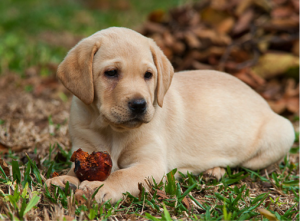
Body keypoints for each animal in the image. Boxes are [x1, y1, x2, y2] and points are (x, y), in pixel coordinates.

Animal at [45, 27, 294, 204]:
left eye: (148, 75)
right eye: (111, 73)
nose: (139, 105)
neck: (111, 130)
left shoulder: (150, 165)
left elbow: (121, 176)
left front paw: (100, 188)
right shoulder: (84, 147)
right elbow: (75, 168)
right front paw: (65, 180)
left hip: (283, 132)